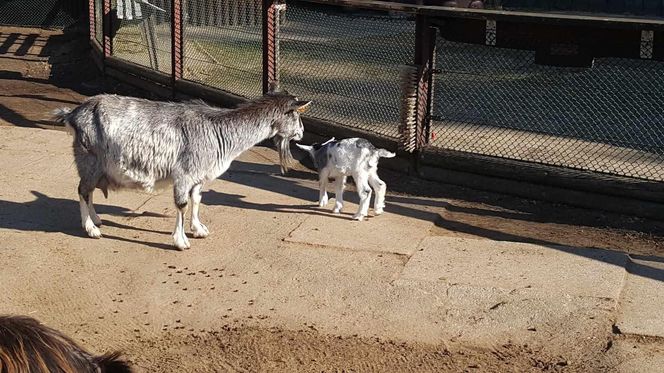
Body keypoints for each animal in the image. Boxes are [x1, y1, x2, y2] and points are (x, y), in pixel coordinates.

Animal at [53, 86, 310, 250]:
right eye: (297, 115)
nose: (302, 133)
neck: (218, 130)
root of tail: (72, 114)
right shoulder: (184, 174)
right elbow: (182, 205)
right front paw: (181, 241)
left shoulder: (198, 176)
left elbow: (196, 200)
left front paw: (199, 229)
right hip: (89, 158)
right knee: (82, 190)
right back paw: (91, 229)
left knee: (88, 191)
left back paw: (96, 220)